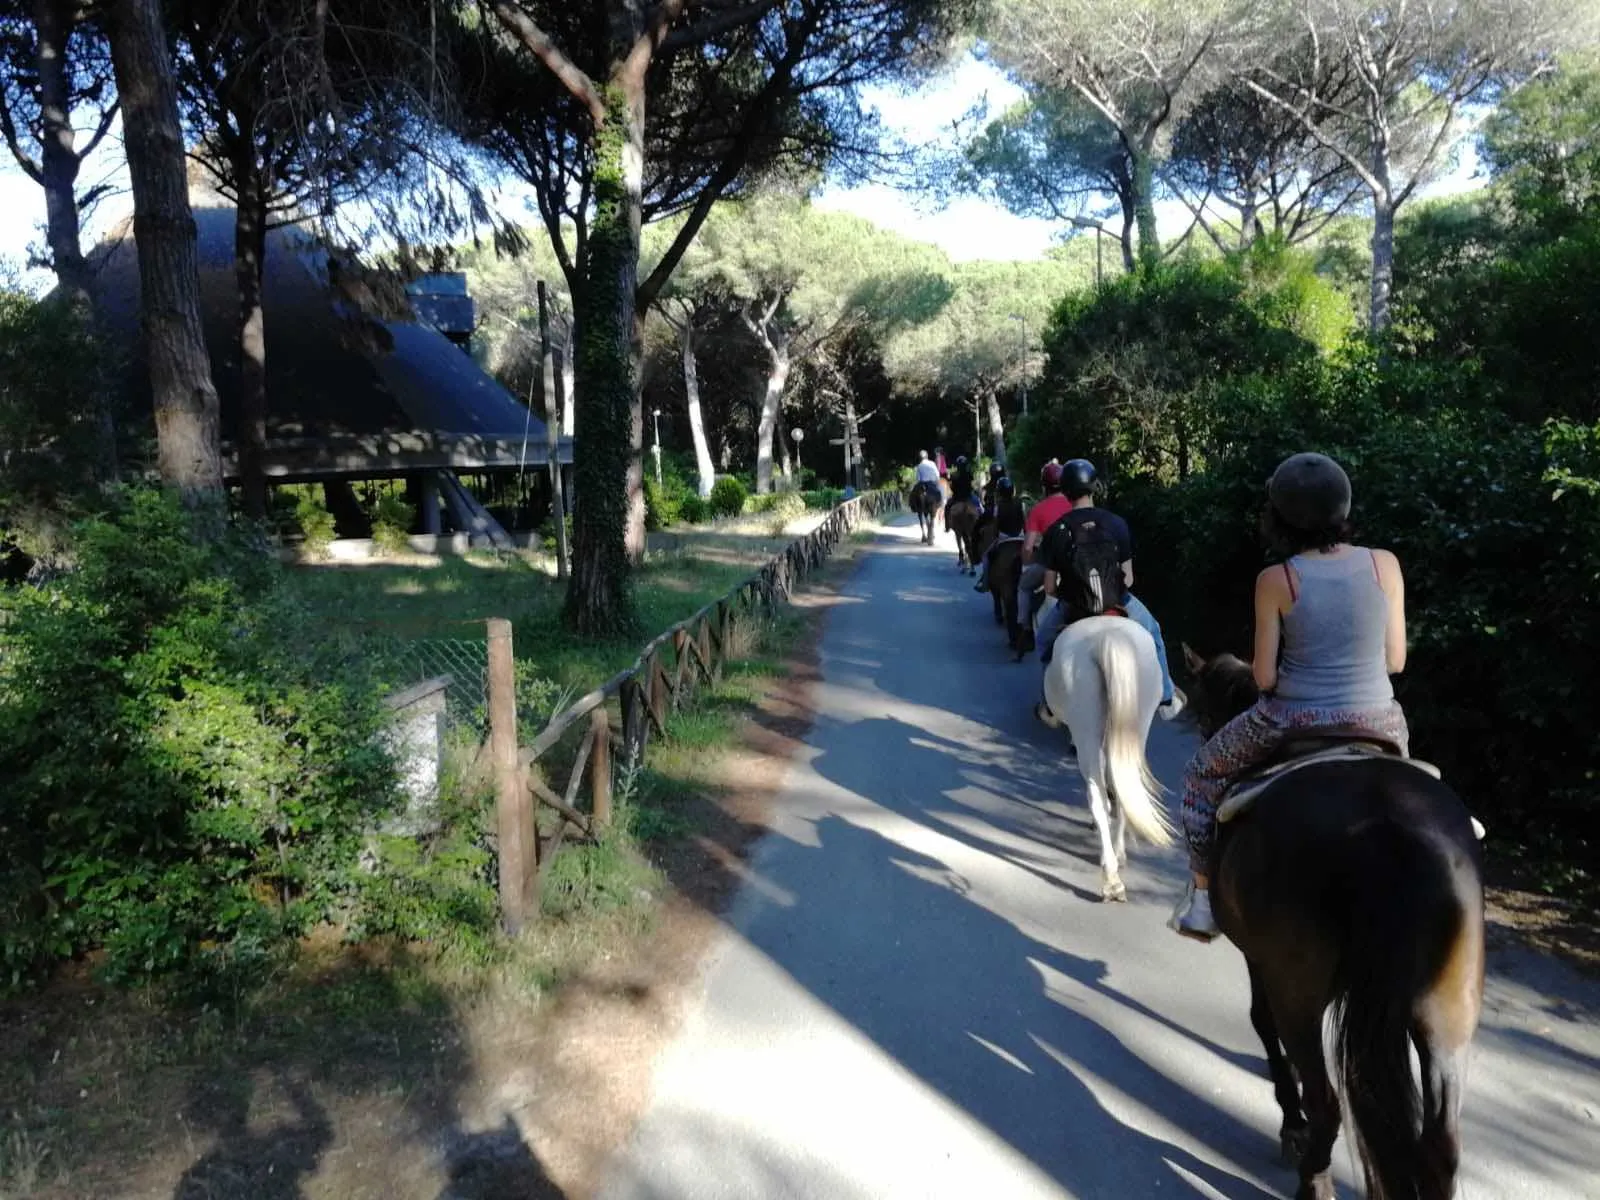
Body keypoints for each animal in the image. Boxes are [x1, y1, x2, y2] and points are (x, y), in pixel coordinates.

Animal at [1037, 615, 1173, 900]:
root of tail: (1107, 638)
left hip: (1086, 729)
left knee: (1098, 797)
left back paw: (1111, 878)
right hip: (1137, 725)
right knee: (1125, 790)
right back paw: (1118, 856)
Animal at [1180, 645, 1485, 1200]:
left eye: (1204, 708)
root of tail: (1389, 826)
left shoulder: (1260, 959)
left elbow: (1260, 1021)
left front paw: (1290, 1124)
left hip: (1299, 989)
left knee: (1327, 1102)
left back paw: (1313, 1177)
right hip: (1448, 1009)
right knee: (1442, 1141)